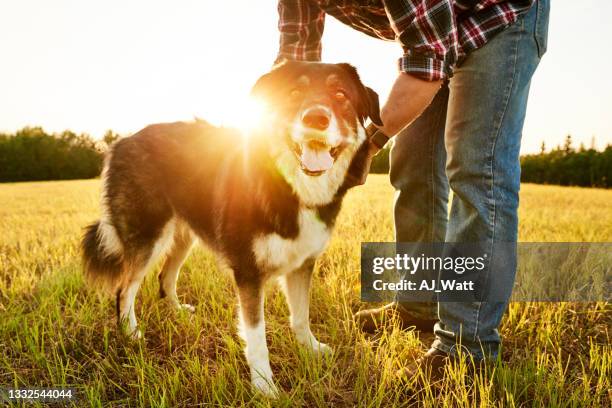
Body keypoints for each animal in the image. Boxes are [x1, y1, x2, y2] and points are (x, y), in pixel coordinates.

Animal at [83, 60, 382, 396]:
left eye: (341, 94)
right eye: (294, 93)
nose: (315, 118)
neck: (290, 187)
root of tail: (121, 142)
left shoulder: (303, 263)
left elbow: (301, 316)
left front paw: (311, 348)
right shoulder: (248, 271)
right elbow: (257, 335)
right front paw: (264, 385)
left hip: (183, 237)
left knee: (165, 276)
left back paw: (177, 312)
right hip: (149, 235)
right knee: (124, 289)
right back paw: (130, 333)